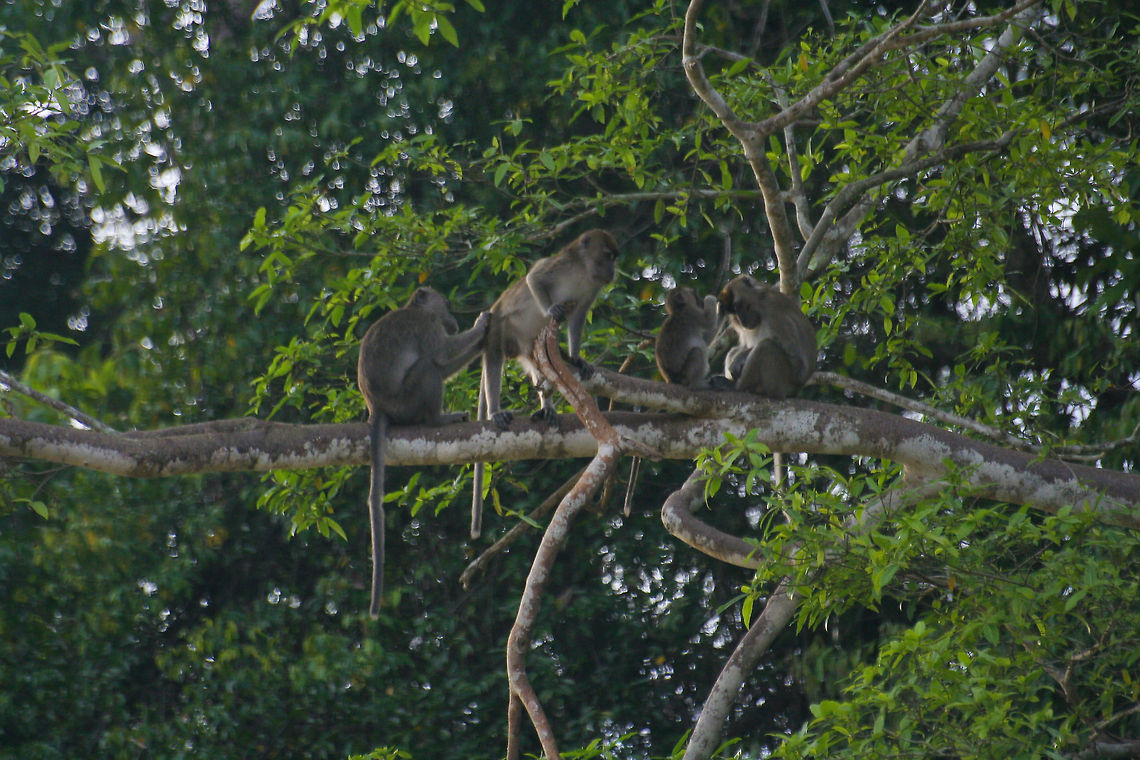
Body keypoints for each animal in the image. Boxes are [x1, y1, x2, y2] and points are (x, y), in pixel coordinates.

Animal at [358, 287, 490, 618]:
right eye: (447, 305)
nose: (454, 319)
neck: (416, 309)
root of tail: (376, 407)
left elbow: (445, 363)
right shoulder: (427, 326)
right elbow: (441, 354)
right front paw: (481, 325)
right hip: (407, 401)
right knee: (429, 367)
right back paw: (436, 419)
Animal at [470, 228, 619, 538]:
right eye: (607, 256)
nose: (612, 271)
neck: (583, 269)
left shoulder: (591, 290)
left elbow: (578, 318)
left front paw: (576, 357)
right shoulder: (560, 265)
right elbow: (535, 278)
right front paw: (551, 308)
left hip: (526, 343)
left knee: (538, 366)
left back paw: (547, 403)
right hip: (500, 328)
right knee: (494, 357)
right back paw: (495, 411)